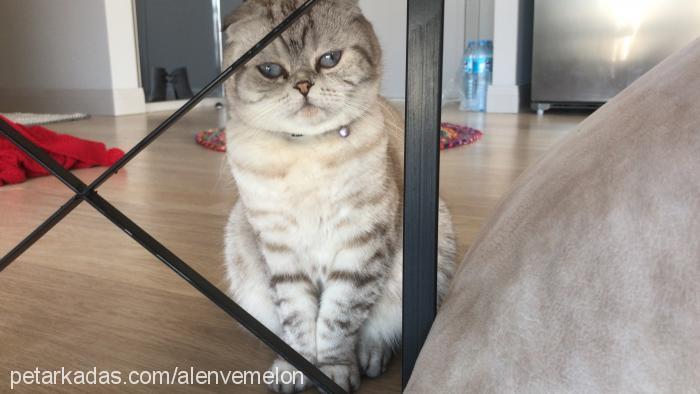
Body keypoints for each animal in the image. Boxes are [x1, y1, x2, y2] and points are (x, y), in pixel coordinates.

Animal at [221, 0, 456, 390]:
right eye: (270, 70)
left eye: (330, 59)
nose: (304, 85)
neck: (307, 153)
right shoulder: (280, 251)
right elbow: (297, 320)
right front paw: (299, 370)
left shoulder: (360, 245)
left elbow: (338, 320)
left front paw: (332, 372)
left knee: (378, 330)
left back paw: (371, 359)